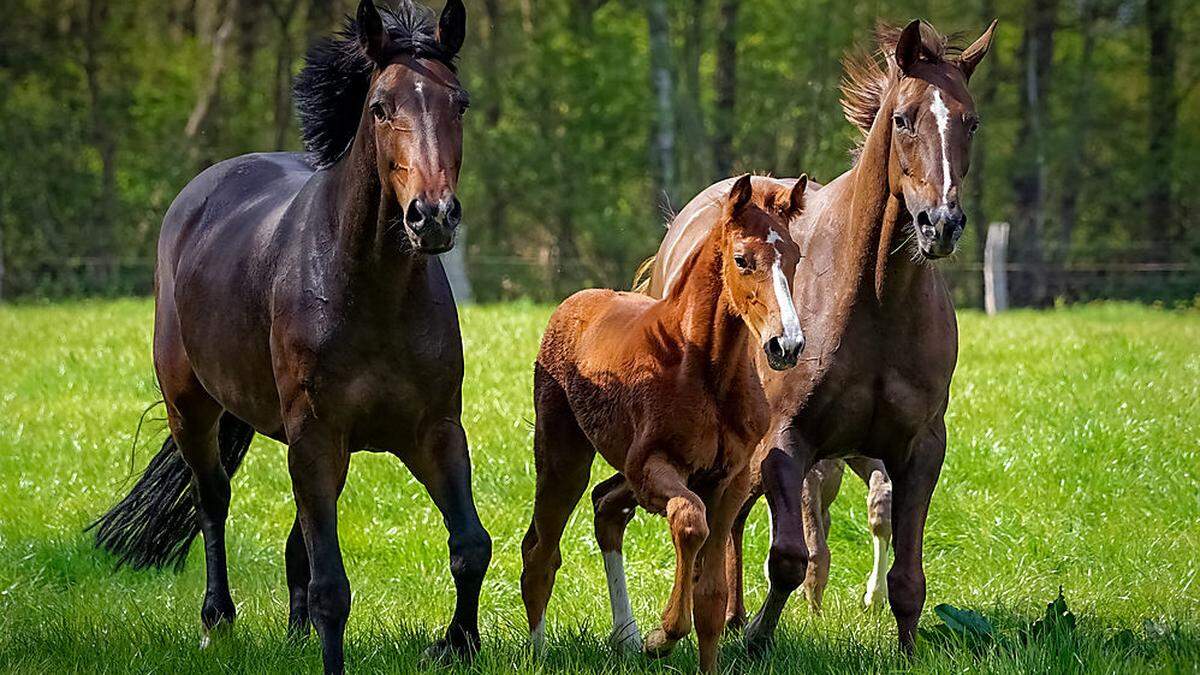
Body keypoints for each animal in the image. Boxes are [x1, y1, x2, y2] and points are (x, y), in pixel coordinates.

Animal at [87, 2, 492, 667]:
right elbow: (333, 586)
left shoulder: (432, 431)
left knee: (295, 539)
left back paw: (294, 633)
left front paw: (455, 645)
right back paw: (218, 619)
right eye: (380, 106)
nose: (432, 216)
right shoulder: (315, 435)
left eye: (457, 103)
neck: (370, 292)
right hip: (192, 408)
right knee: (213, 500)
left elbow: (470, 546)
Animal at [523, 174, 806, 672]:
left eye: (794, 257)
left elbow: (712, 596)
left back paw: (625, 635)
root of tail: (573, 303)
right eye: (741, 260)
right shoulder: (651, 467)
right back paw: (543, 651)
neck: (706, 368)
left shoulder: (729, 480)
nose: (785, 345)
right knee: (542, 550)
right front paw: (663, 635)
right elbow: (689, 520)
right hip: (562, 458)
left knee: (604, 508)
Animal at [643, 19, 998, 653]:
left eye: (971, 121)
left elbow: (908, 575)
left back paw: (730, 614)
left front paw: (905, 648)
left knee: (732, 522)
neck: (875, 303)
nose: (941, 224)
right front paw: (757, 641)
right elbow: (788, 556)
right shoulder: (787, 444)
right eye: (903, 118)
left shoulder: (920, 448)